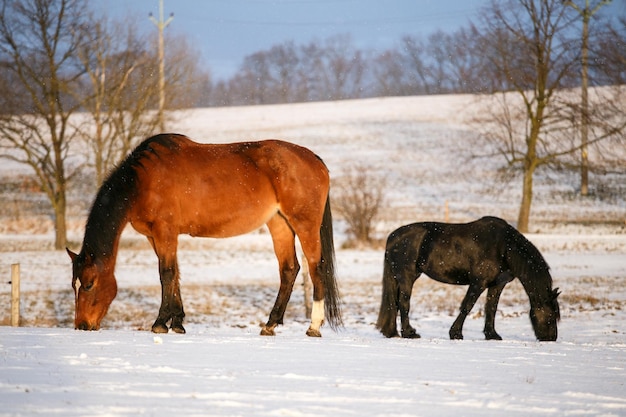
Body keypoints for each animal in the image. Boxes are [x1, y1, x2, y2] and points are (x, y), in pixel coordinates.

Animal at [67, 135, 342, 336]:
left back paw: (313, 326)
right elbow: (175, 274)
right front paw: (177, 322)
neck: (143, 181)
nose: (82, 325)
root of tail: (314, 159)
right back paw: (270, 324)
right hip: (279, 224)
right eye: (74, 284)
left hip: (304, 225)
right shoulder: (154, 237)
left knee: (316, 267)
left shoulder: (165, 232)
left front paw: (160, 323)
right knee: (289, 269)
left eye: (89, 284)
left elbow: (166, 274)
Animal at [376, 216, 560, 340]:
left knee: (396, 303)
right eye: (552, 316)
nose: (551, 338)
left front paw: (492, 334)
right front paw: (456, 333)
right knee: (403, 303)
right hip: (406, 277)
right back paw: (409, 333)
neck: (504, 247)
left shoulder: (497, 284)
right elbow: (467, 306)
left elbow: (491, 308)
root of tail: (393, 236)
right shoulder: (478, 283)